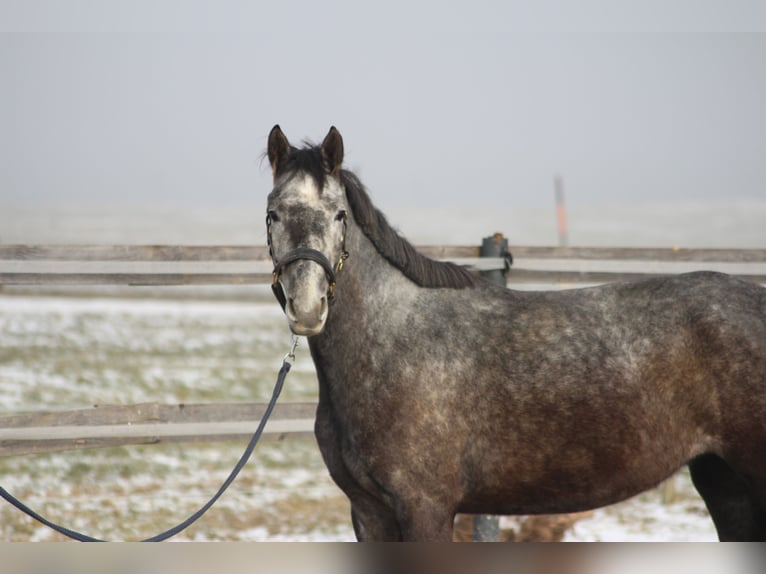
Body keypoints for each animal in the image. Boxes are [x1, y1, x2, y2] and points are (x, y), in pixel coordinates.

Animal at [262, 124, 766, 544]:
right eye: (273, 214)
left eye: (338, 215)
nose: (307, 307)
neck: (388, 344)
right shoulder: (369, 513)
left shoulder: (425, 507)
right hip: (723, 481)